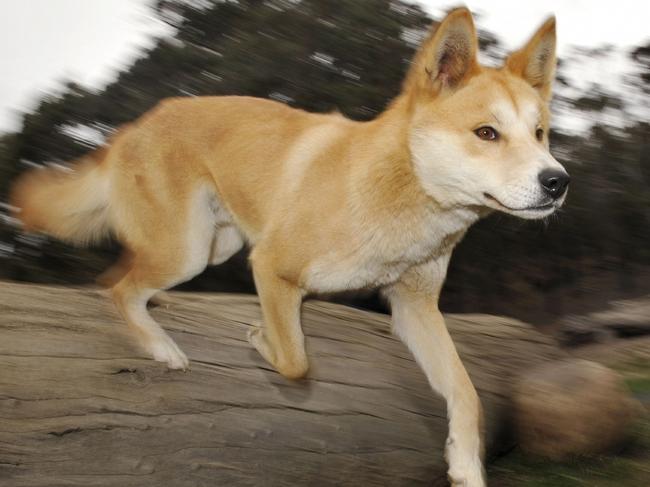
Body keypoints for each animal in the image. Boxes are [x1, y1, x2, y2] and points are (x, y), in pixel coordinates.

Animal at [10, 9, 568, 486]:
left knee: (124, 279)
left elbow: (467, 393)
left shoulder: (416, 307)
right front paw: (261, 337)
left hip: (215, 245)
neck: (400, 198)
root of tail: (134, 126)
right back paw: (161, 347)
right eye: (486, 133)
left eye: (540, 133)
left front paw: (465, 467)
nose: (558, 181)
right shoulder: (272, 267)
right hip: (187, 250)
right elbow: (297, 360)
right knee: (115, 286)